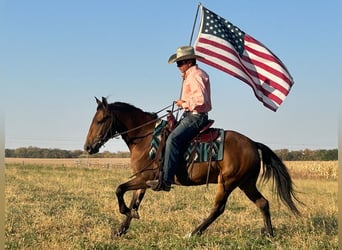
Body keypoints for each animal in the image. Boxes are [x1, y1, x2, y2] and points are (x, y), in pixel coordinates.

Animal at [83, 96, 300, 237]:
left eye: (101, 120)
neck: (146, 138)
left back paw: (194, 232)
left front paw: (127, 213)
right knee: (263, 203)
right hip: (246, 183)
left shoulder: (145, 178)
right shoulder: (142, 180)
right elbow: (134, 201)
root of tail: (253, 143)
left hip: (227, 183)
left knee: (218, 208)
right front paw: (122, 228)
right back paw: (269, 234)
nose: (88, 147)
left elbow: (119, 189)